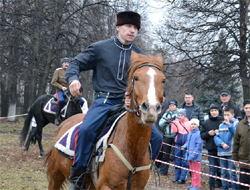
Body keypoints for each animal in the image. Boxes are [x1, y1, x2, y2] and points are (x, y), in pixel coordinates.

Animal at [45, 51, 166, 189]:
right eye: (136, 78)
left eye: (163, 80)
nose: (151, 109)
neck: (132, 149)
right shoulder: (106, 185)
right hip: (56, 175)